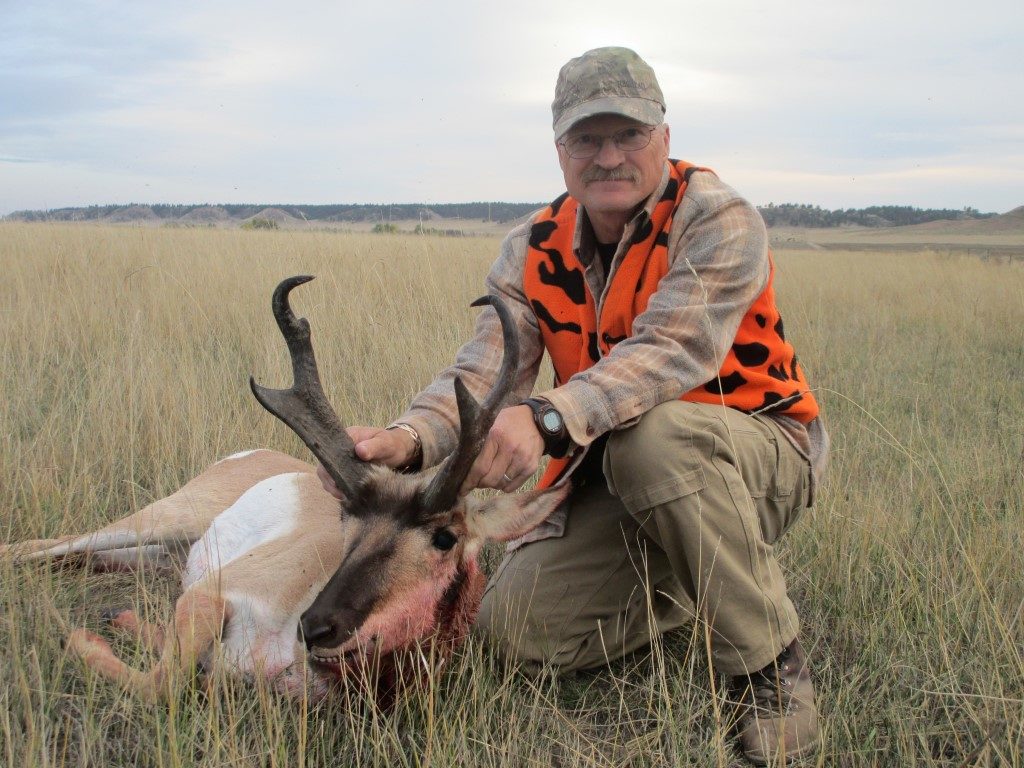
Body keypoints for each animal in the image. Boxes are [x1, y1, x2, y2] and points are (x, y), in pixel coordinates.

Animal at [4, 274, 569, 704]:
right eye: (346, 519)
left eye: (445, 537)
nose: (315, 625)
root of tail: (251, 455)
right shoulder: (208, 598)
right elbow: (160, 684)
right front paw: (78, 636)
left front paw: (124, 624)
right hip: (159, 519)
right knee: (35, 548)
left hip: (158, 554)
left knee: (87, 559)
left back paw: (118, 611)